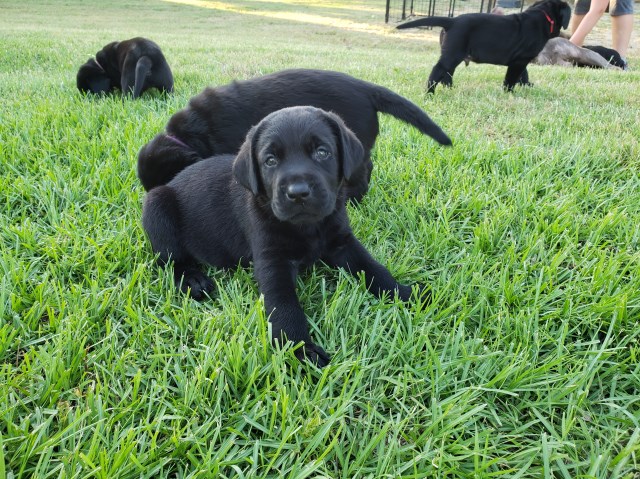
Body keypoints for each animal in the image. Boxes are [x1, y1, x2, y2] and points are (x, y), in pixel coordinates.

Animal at [398, 0, 572, 93]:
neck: (544, 16)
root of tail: (452, 21)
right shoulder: (520, 60)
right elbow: (512, 78)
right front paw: (509, 93)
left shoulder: (521, 60)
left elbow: (524, 74)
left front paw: (527, 86)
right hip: (453, 53)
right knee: (439, 69)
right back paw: (430, 92)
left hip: (453, 53)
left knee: (447, 73)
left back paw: (450, 88)